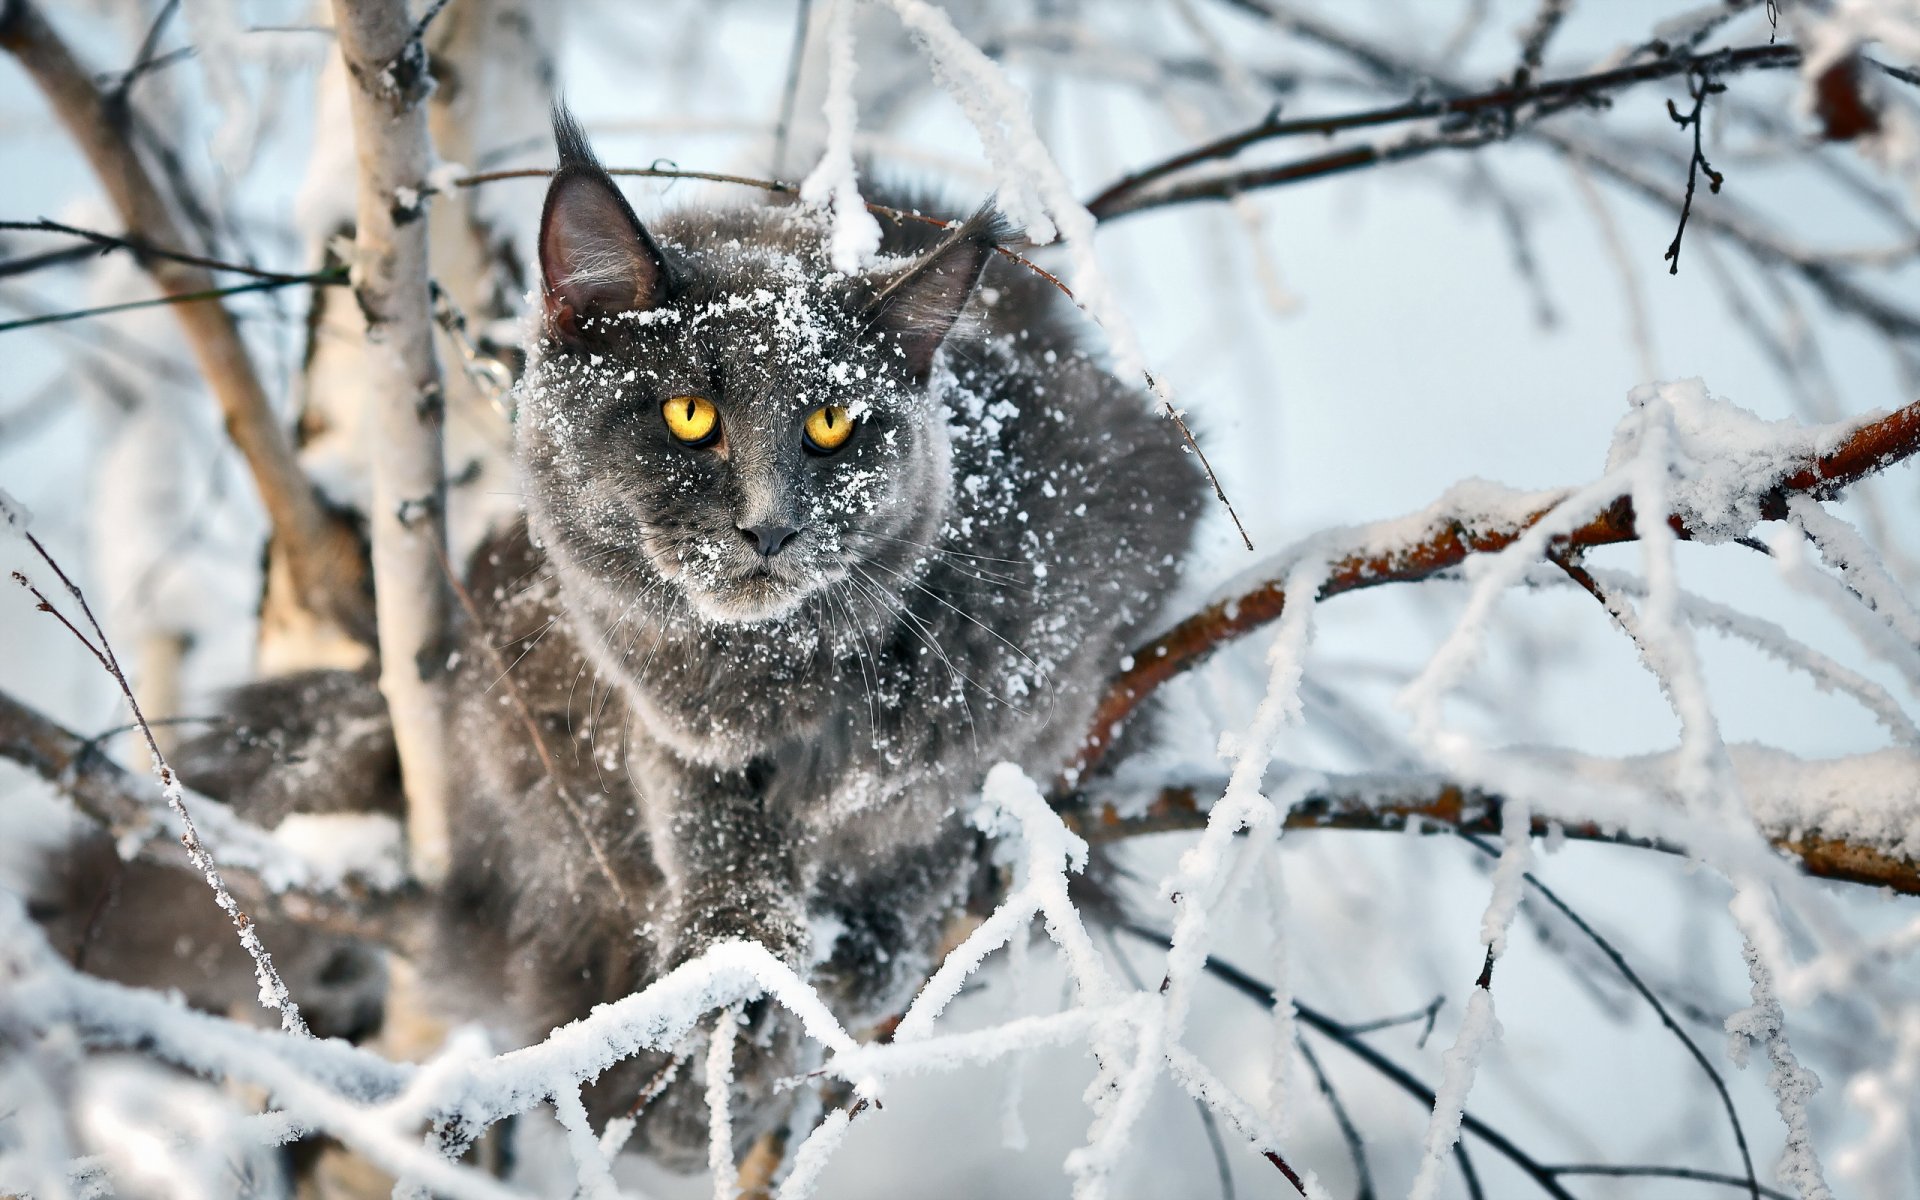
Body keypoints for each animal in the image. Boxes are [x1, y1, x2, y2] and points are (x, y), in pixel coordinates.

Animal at [60, 107, 1205, 1167]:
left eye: (832, 425)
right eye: (690, 416)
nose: (769, 526)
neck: (771, 672)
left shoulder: (1089, 623)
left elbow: (941, 803)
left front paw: (873, 929)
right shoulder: (656, 717)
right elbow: (706, 822)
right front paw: (736, 943)